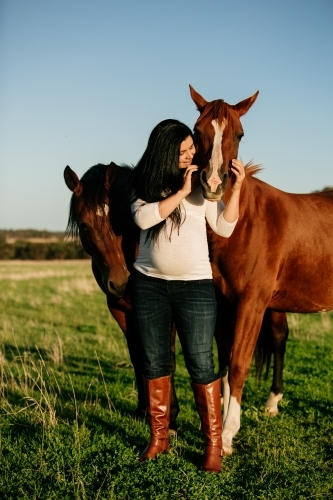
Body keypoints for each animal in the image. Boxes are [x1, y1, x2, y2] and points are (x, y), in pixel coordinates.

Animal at [189, 85, 332, 454]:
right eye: (197, 131)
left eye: (240, 134)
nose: (213, 184)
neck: (243, 223)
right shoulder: (225, 305)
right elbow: (225, 367)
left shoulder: (252, 304)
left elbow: (239, 364)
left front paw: (227, 435)